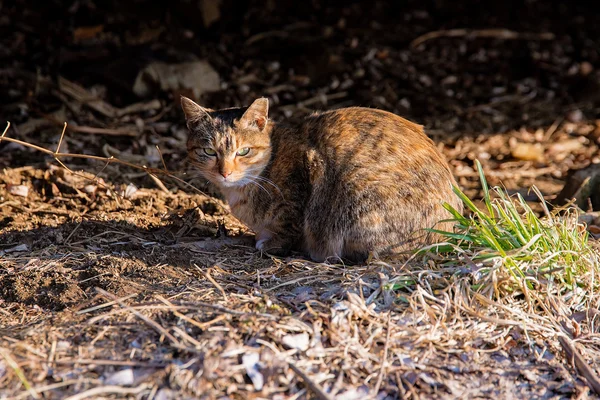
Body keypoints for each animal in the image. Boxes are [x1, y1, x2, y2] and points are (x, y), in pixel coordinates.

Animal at [180, 97, 462, 262]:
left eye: (243, 151)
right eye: (209, 151)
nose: (225, 172)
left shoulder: (304, 177)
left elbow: (287, 225)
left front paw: (271, 244)